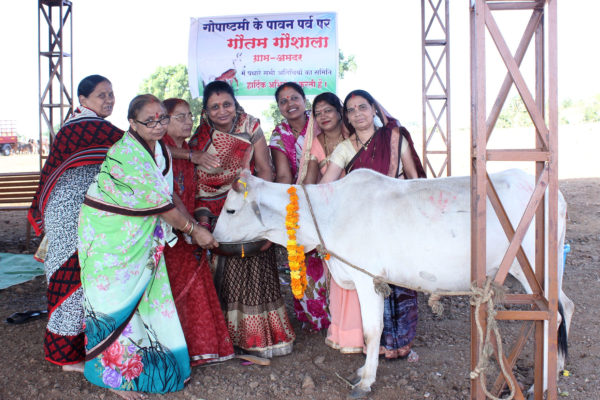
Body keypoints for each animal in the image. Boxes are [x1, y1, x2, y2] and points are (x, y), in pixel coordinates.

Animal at [214, 168, 572, 396]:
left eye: (230, 210)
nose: (212, 239)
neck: (328, 215)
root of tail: (554, 193)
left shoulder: (365, 277)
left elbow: (372, 331)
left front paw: (365, 381)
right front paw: (364, 372)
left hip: (531, 268)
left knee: (554, 312)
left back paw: (541, 380)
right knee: (562, 307)